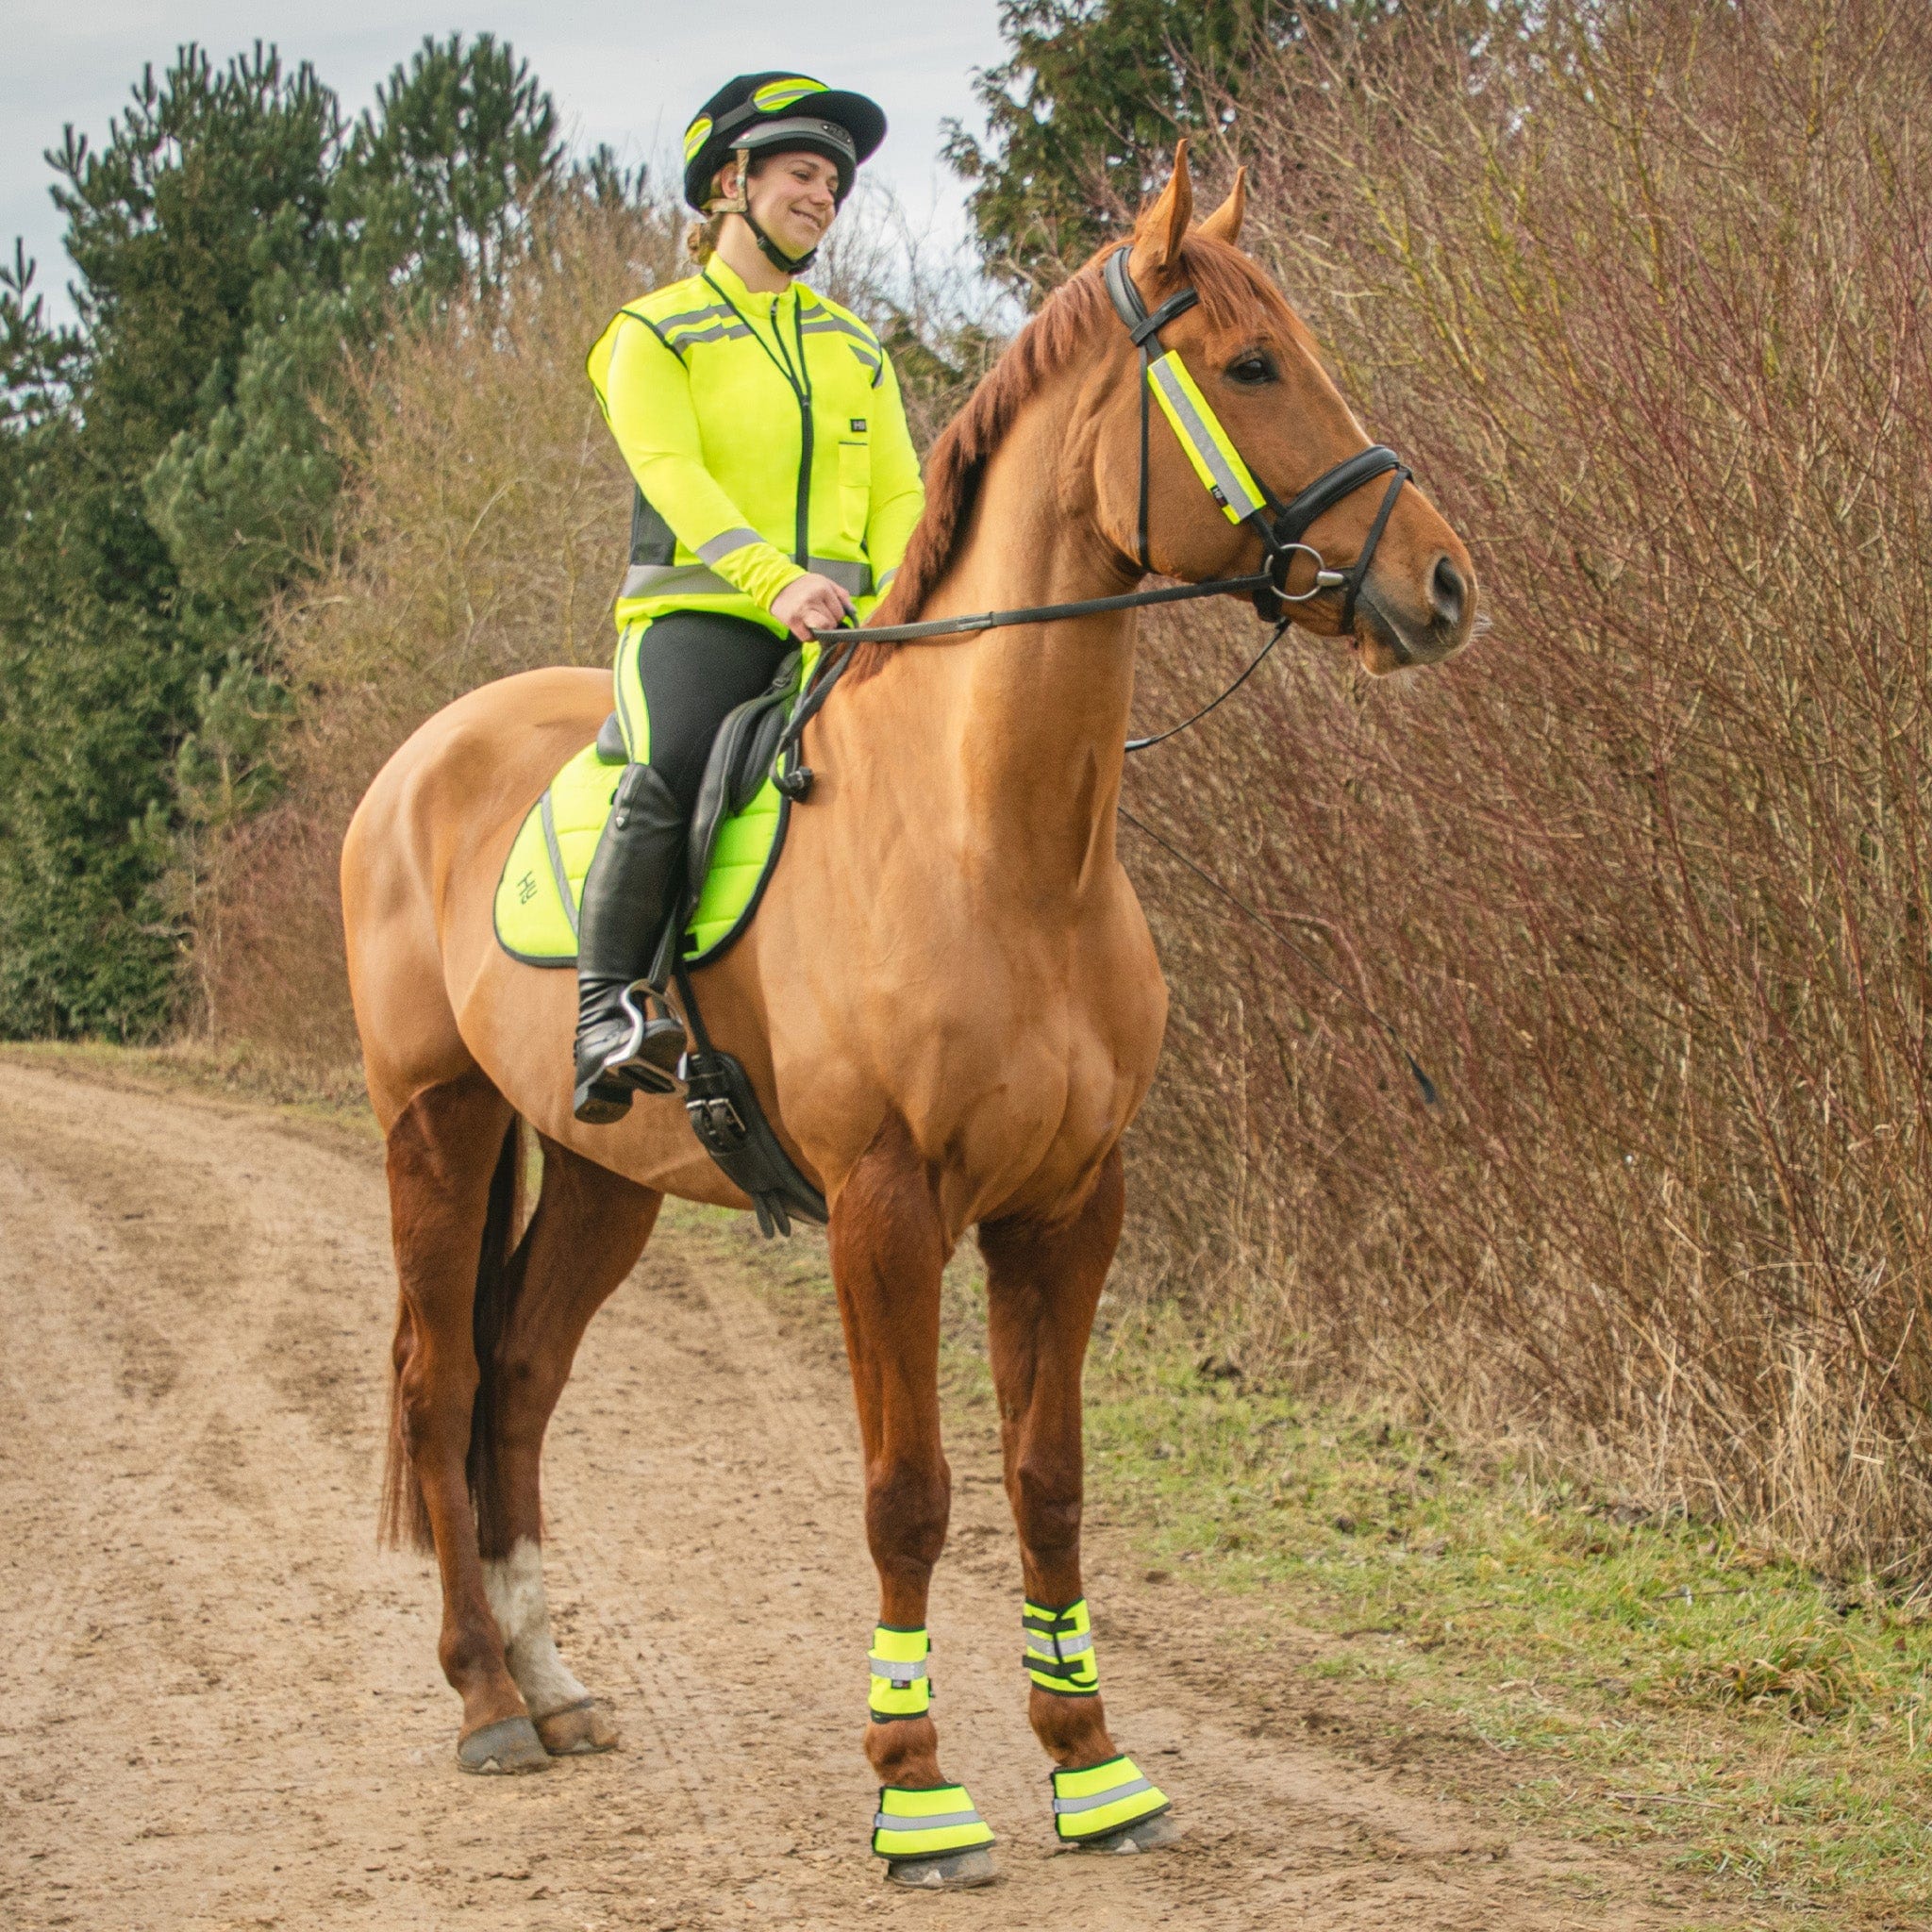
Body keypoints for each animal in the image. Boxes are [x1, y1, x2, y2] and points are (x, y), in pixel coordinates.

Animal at [340, 150, 1468, 1870]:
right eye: (1253, 364)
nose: (1442, 584)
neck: (1001, 846)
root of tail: (418, 759)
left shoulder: (1067, 1206)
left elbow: (1047, 1481)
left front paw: (1091, 1766)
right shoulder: (885, 1209)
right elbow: (909, 1492)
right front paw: (918, 1787)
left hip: (602, 1177)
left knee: (522, 1385)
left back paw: (553, 1680)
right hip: (438, 1125)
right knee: (443, 1385)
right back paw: (483, 1700)